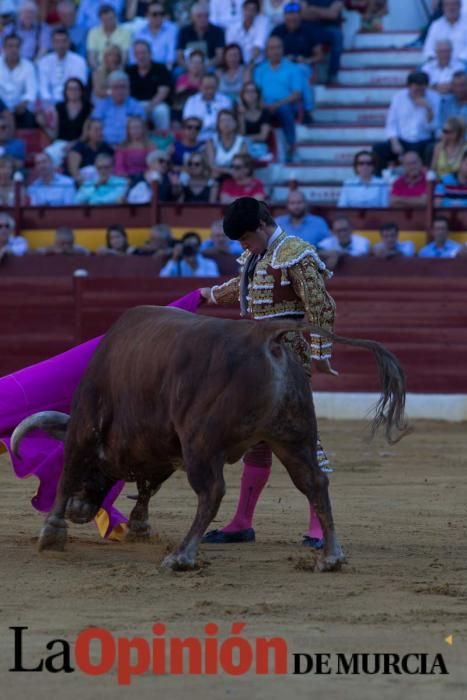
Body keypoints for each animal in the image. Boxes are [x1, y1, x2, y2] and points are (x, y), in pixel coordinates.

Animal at [11, 304, 410, 572]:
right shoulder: (163, 447)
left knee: (212, 491)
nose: (80, 512)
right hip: (292, 437)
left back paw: (182, 556)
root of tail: (264, 335)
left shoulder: (86, 425)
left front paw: (51, 534)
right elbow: (147, 486)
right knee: (314, 482)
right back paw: (331, 556)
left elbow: (68, 472)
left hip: (202, 443)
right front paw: (139, 526)